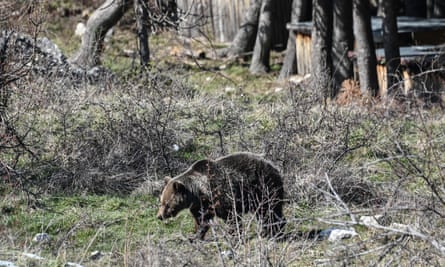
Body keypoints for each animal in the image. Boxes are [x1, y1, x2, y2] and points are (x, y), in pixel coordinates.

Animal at [156, 153, 284, 241]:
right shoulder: (201, 206)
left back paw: (273, 232)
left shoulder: (222, 195)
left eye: (166, 203)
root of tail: (275, 167)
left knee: (269, 210)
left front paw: (235, 236)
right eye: (161, 202)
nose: (159, 216)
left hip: (264, 187)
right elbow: (202, 220)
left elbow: (231, 217)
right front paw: (195, 237)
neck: (198, 193)